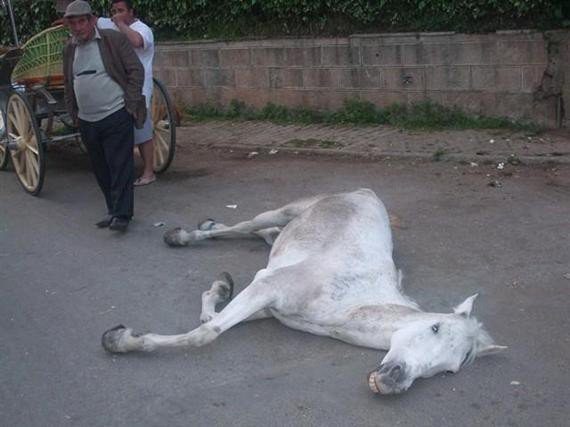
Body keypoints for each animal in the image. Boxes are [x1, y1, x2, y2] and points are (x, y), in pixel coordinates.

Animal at [101, 189, 502, 396]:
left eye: (452, 369)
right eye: (435, 327)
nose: (395, 380)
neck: (348, 304)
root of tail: (364, 192)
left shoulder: (267, 302)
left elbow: (209, 315)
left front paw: (220, 286)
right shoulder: (268, 286)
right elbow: (206, 332)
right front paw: (119, 339)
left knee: (263, 235)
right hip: (282, 210)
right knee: (244, 225)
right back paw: (186, 234)